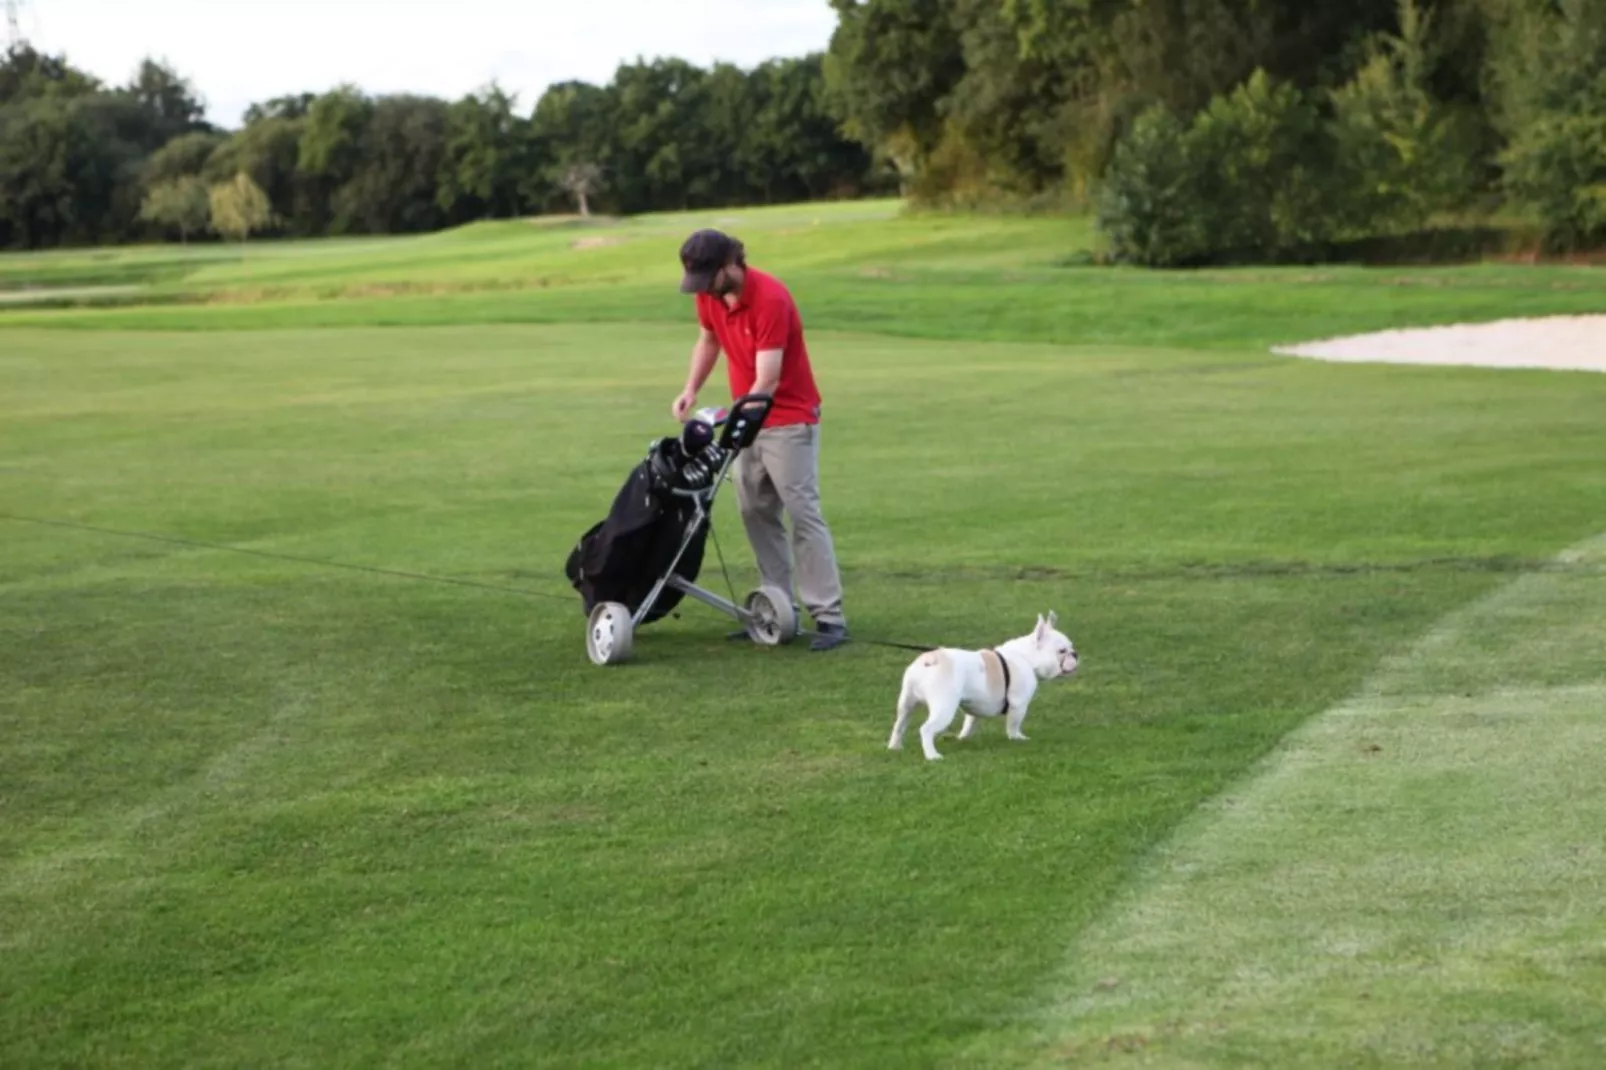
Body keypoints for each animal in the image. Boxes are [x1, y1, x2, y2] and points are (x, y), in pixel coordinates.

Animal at [892, 607, 1079, 758]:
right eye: (1062, 651)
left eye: (1071, 647)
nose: (1075, 654)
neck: (1026, 657)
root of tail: (930, 659)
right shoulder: (1019, 705)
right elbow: (1014, 724)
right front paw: (1017, 738)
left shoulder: (975, 705)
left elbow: (970, 723)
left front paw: (963, 738)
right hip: (944, 707)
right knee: (926, 729)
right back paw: (932, 756)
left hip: (906, 702)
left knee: (900, 724)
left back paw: (894, 747)